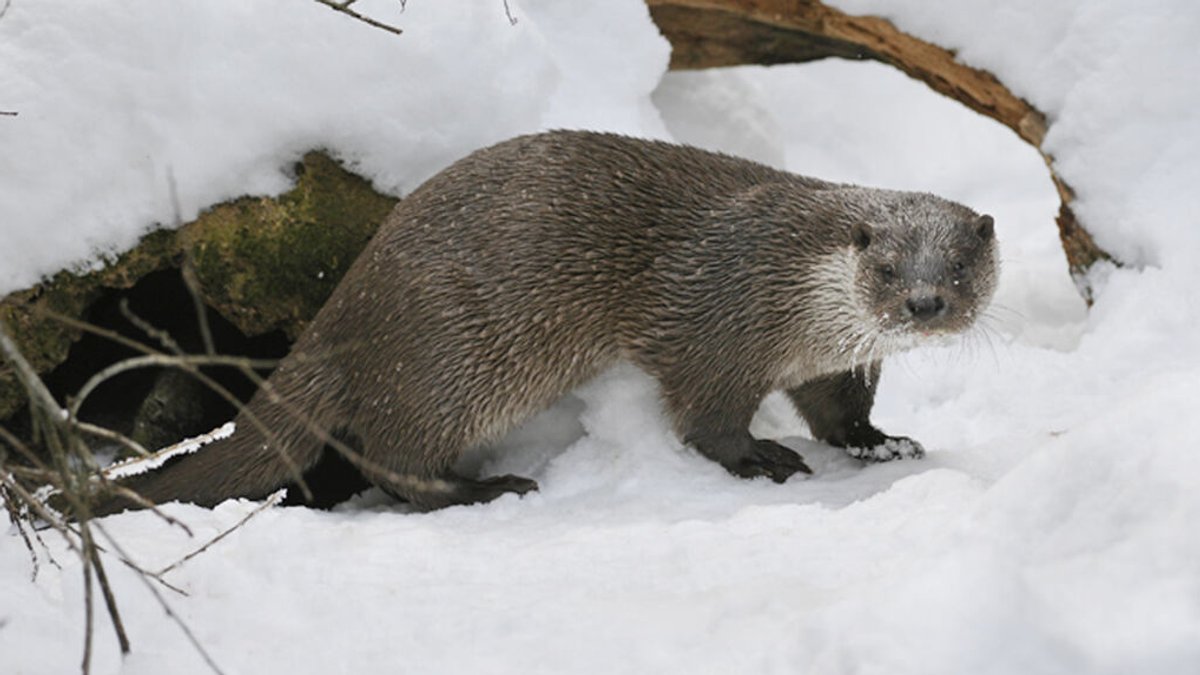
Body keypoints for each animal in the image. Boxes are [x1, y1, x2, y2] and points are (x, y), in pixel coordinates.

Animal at [88, 128, 998, 511]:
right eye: (888, 267)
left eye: (957, 266)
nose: (923, 303)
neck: (794, 288)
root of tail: (345, 304)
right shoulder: (715, 326)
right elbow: (705, 419)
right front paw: (760, 459)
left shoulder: (831, 359)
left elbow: (840, 411)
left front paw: (882, 441)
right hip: (452, 357)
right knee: (392, 455)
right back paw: (483, 489)